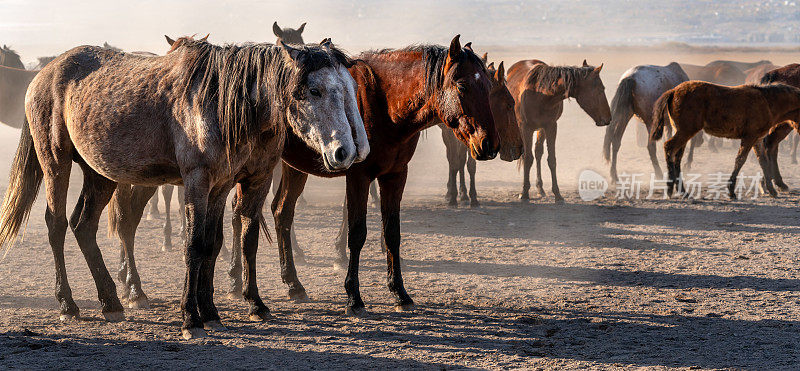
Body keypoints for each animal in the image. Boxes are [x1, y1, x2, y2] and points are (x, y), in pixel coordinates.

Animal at [0, 37, 368, 340]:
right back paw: (68, 305)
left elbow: (212, 245)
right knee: (56, 225)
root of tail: (43, 74)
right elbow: (192, 245)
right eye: (315, 90)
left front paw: (213, 313)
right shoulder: (196, 182)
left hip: (99, 174)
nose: (344, 152)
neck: (221, 101)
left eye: (347, 88)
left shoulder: (221, 186)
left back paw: (111, 302)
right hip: (56, 163)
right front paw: (191, 318)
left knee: (84, 225)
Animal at [506, 59, 612, 202]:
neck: (541, 95)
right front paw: (524, 193)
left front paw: (557, 194)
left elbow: (552, 160)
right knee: (528, 155)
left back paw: (540, 188)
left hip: (541, 129)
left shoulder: (551, 127)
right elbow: (528, 158)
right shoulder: (526, 128)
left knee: (538, 152)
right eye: (601, 89)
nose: (609, 118)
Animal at [648, 80, 800, 199]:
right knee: (669, 148)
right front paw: (731, 191)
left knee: (677, 157)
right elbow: (740, 160)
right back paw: (669, 190)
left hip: (682, 132)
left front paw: (772, 190)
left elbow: (763, 161)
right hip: (686, 131)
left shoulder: (757, 139)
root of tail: (674, 91)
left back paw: (683, 191)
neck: (766, 102)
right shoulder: (749, 137)